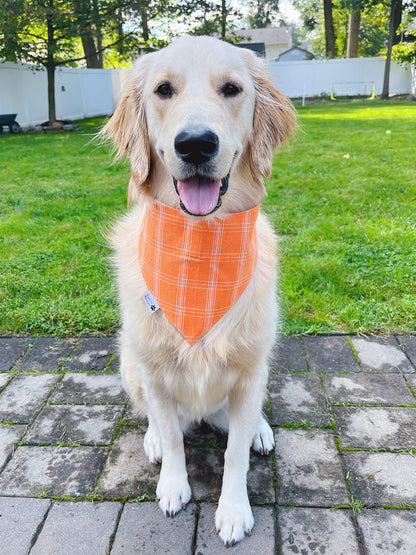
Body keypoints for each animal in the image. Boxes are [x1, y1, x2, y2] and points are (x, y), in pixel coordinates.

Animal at [102, 35, 294, 548]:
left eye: (232, 89)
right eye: (163, 90)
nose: (195, 144)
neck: (199, 250)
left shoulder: (248, 373)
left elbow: (235, 455)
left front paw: (233, 511)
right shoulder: (153, 368)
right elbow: (171, 436)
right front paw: (173, 485)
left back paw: (260, 431)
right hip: (130, 362)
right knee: (154, 416)